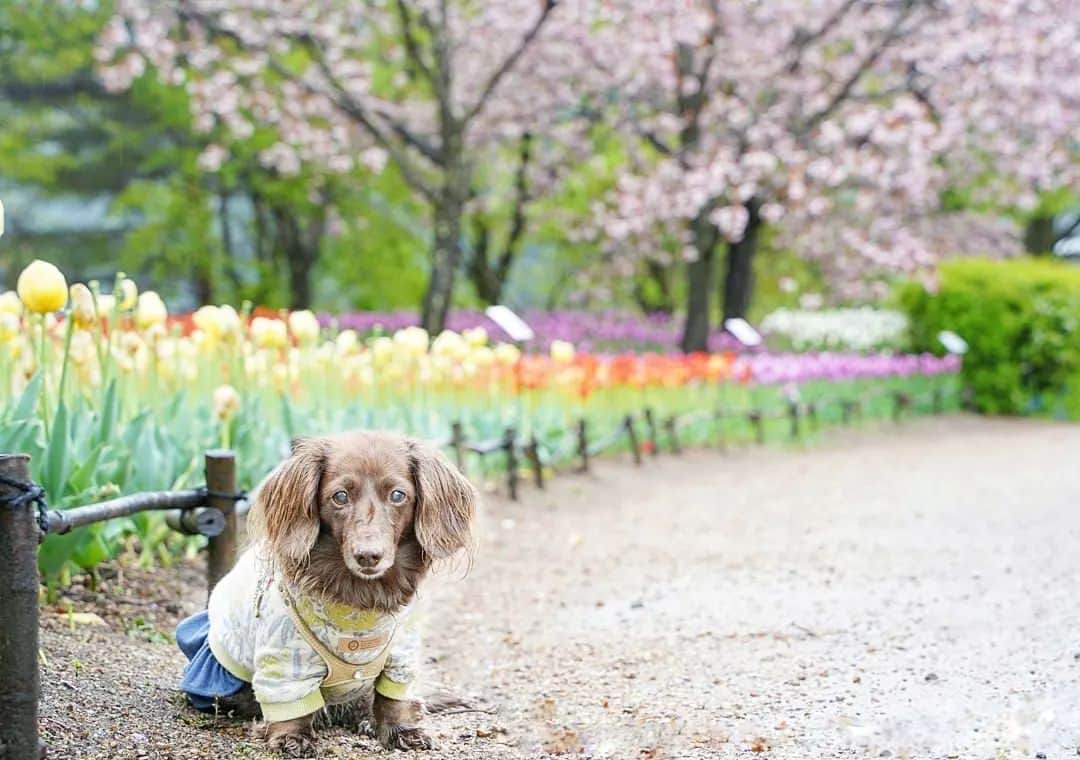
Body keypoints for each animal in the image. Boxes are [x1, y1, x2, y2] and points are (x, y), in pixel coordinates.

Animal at [178, 429, 477, 755]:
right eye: (340, 496)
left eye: (398, 495)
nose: (368, 556)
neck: (360, 601)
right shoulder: (284, 660)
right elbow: (290, 705)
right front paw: (292, 738)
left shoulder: (402, 653)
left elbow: (394, 699)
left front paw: (403, 731)